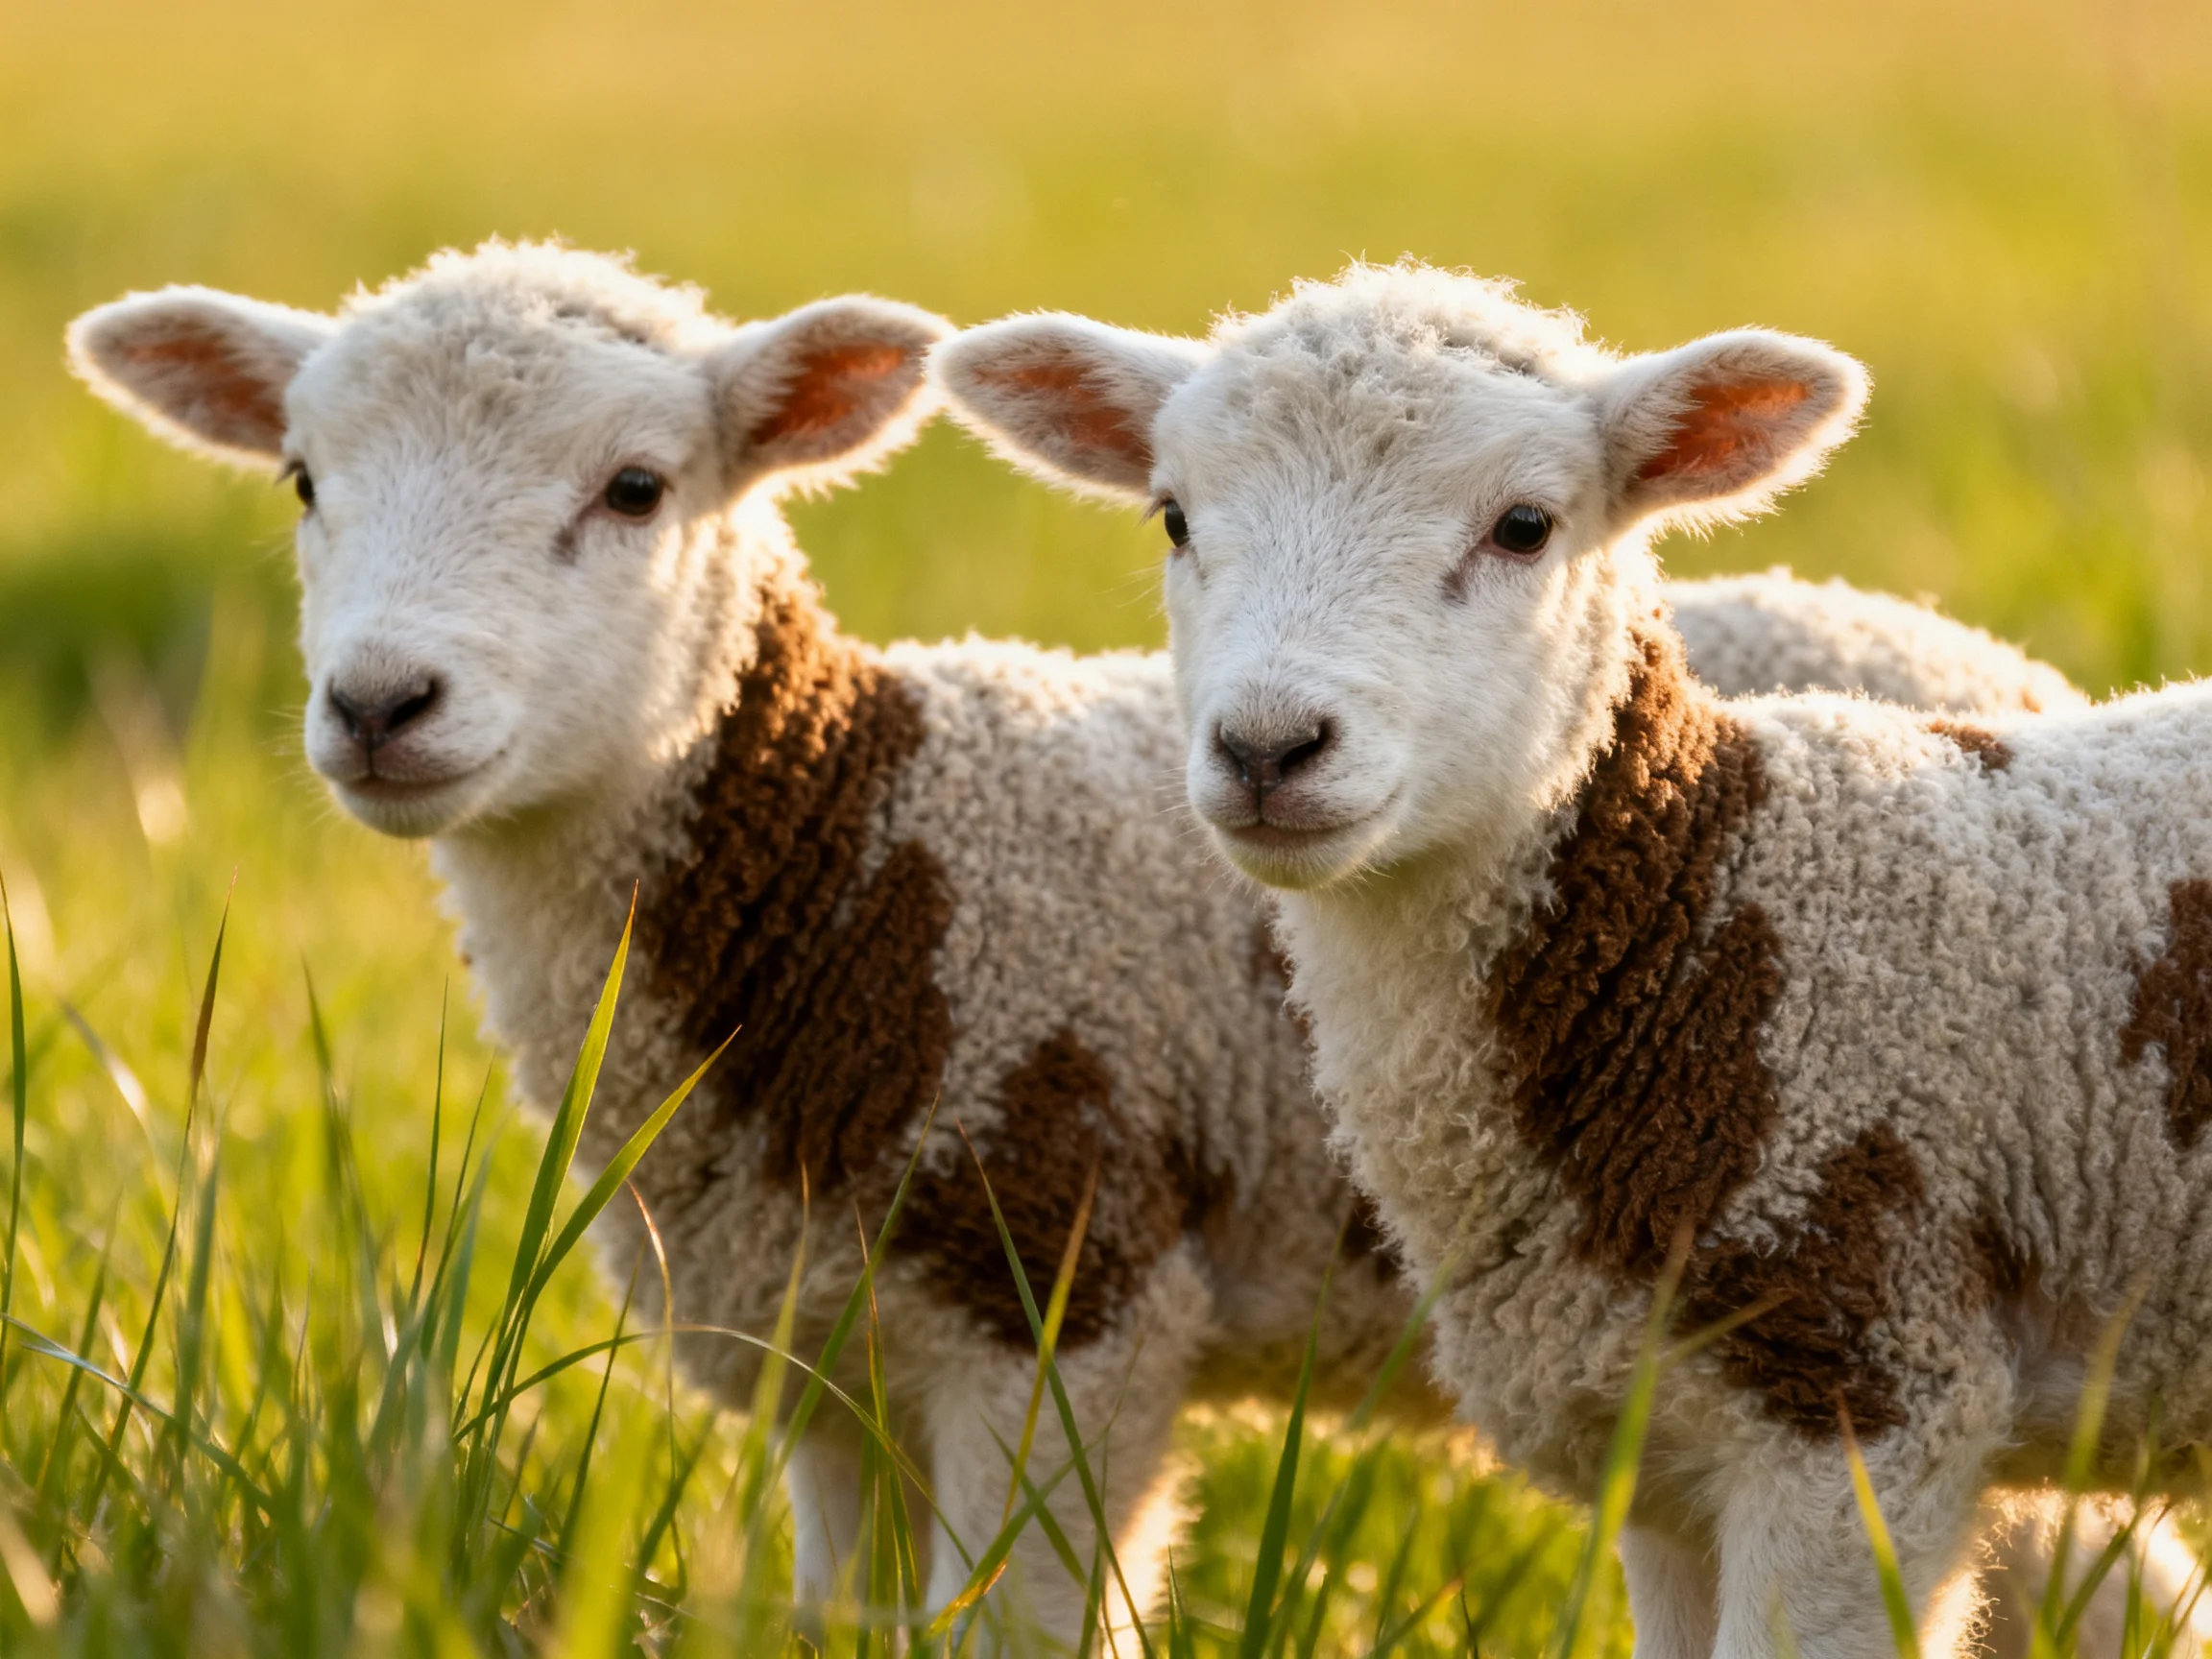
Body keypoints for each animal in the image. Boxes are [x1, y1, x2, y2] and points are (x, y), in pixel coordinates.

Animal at [931, 266, 2212, 1659]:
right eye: (1172, 518)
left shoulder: (1861, 1392)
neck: (1713, 919)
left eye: (1525, 526)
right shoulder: (1659, 1448)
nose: (1269, 749)